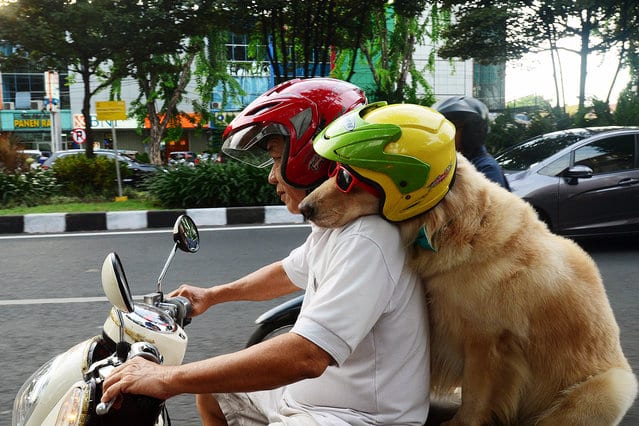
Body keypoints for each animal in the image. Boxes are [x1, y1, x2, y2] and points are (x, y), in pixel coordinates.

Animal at [302, 155, 639, 424]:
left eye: (346, 180)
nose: (304, 209)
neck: (452, 225)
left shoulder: (485, 342)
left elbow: (476, 397)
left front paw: (460, 422)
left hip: (608, 387)